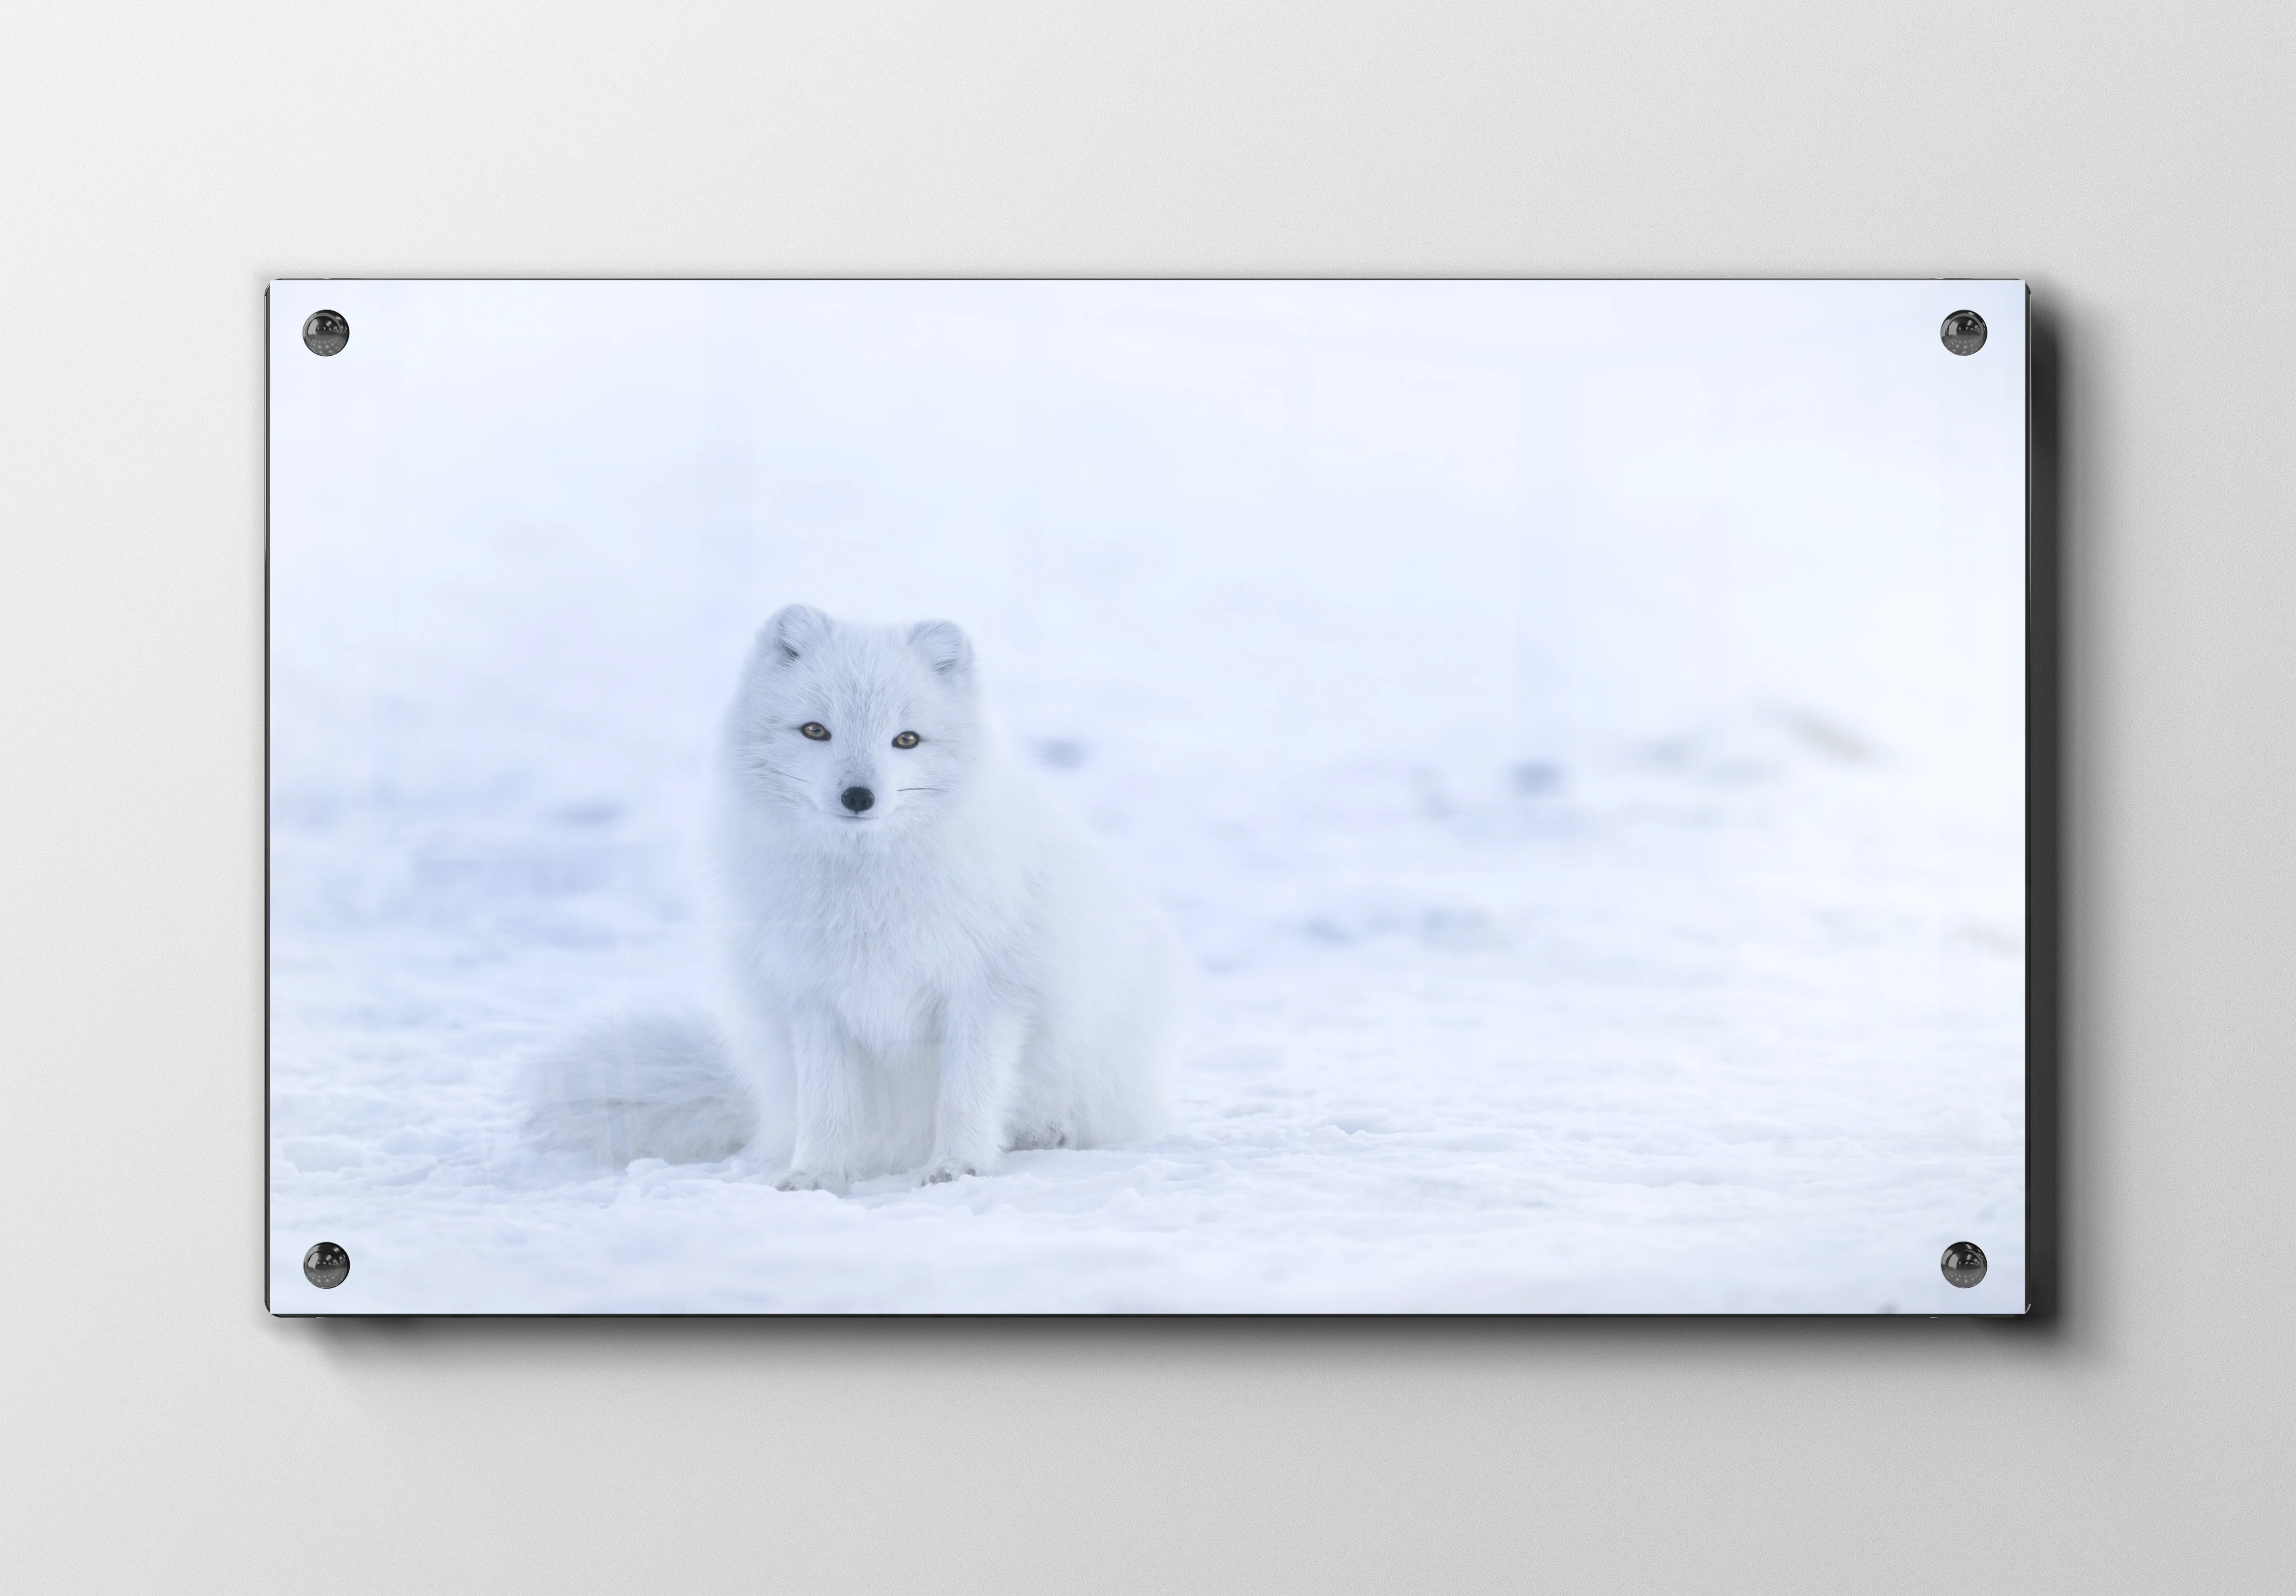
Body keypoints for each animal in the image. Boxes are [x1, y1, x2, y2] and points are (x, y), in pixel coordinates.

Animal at [524, 604, 1188, 1190]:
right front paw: (816, 1174)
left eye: (907, 739)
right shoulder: (814, 999)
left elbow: (968, 1092)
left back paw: (1043, 1133)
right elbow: (828, 1105)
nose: (859, 796)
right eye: (816, 730)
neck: (865, 889)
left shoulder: (986, 990)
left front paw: (959, 1167)